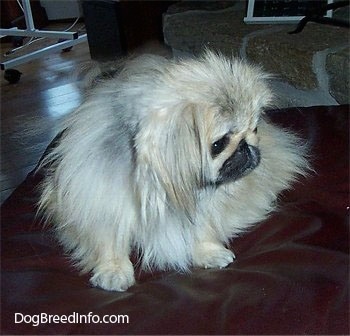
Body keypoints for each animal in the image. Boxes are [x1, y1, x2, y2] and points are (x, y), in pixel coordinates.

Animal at [37, 50, 308, 292]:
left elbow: (202, 228)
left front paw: (208, 252)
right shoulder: (101, 203)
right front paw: (113, 271)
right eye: (218, 145)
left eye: (254, 128)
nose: (247, 147)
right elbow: (110, 242)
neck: (158, 188)